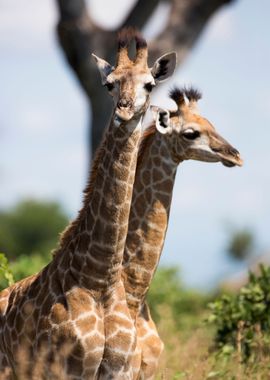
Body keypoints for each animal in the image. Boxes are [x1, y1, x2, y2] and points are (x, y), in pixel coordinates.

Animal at [0, 30, 176, 380]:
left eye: (150, 84)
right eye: (109, 83)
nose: (124, 112)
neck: (99, 279)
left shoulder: (120, 371)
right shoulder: (65, 370)